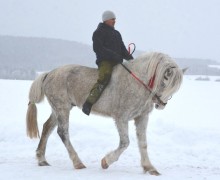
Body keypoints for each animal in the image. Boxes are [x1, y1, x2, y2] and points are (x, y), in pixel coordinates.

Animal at [25, 51, 185, 175]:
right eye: (166, 80)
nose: (161, 104)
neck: (137, 82)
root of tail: (49, 74)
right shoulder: (121, 118)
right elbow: (125, 143)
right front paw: (106, 162)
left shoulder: (141, 117)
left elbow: (143, 143)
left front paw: (150, 168)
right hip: (62, 108)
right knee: (62, 132)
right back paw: (78, 162)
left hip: (58, 109)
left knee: (47, 128)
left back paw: (42, 159)